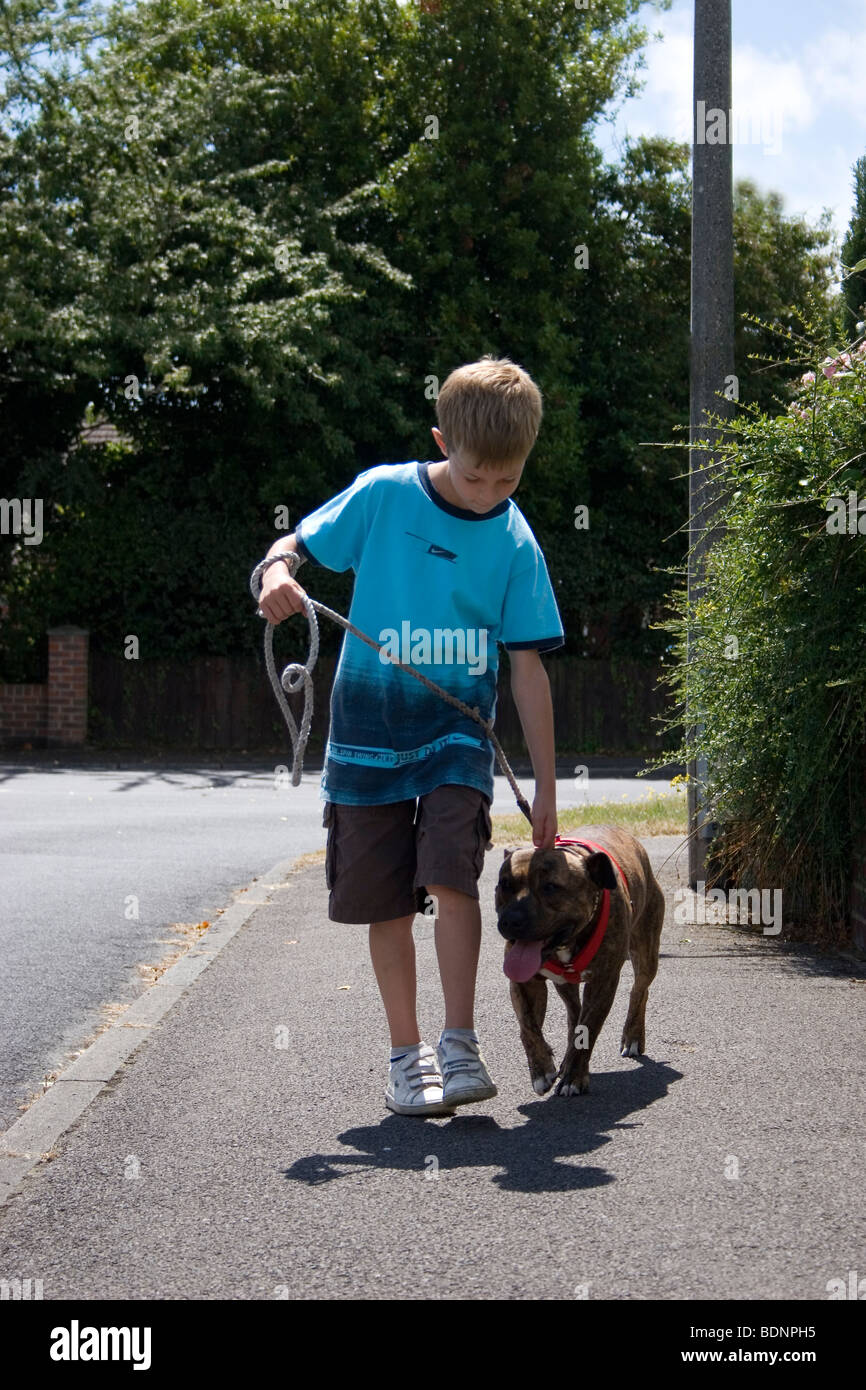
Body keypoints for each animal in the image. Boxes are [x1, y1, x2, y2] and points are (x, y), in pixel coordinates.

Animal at [494, 822, 664, 1095]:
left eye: (550, 887)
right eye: (504, 885)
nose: (511, 920)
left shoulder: (603, 982)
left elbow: (589, 1028)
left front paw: (574, 1077)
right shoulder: (525, 982)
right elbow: (528, 1027)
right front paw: (542, 1070)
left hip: (646, 951)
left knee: (639, 991)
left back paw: (633, 1036)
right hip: (565, 984)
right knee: (574, 1014)